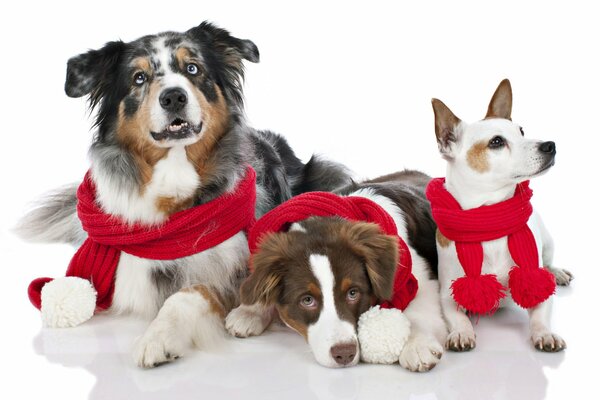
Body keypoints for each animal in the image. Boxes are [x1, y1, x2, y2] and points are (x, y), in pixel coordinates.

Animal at [16, 21, 350, 366]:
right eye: (139, 77)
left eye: (192, 68)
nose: (174, 96)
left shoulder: (229, 269)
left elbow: (189, 293)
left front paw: (158, 337)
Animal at [224, 170, 446, 370]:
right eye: (307, 300)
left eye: (353, 293)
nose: (344, 354)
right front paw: (250, 310)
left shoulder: (423, 277)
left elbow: (419, 311)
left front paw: (417, 344)